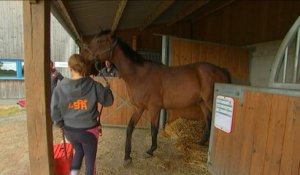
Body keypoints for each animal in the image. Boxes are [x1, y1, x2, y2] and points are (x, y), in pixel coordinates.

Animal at [82, 29, 232, 166]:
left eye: (100, 41)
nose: (84, 55)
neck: (139, 75)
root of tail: (221, 70)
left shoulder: (154, 108)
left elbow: (153, 129)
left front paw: (150, 150)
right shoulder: (138, 108)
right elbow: (129, 128)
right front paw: (127, 156)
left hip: (210, 101)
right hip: (202, 102)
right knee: (208, 119)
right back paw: (201, 142)